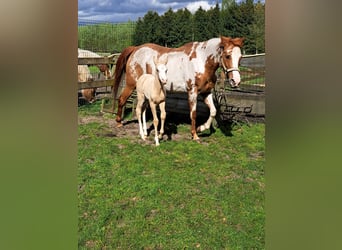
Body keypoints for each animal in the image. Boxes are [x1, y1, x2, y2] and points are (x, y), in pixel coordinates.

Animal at [113, 36, 244, 140]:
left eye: (240, 57)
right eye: (227, 56)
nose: (235, 81)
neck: (202, 61)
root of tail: (136, 49)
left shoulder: (206, 92)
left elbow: (213, 111)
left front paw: (201, 128)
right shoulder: (192, 92)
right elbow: (193, 113)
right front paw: (194, 135)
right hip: (131, 85)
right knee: (122, 99)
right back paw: (119, 122)